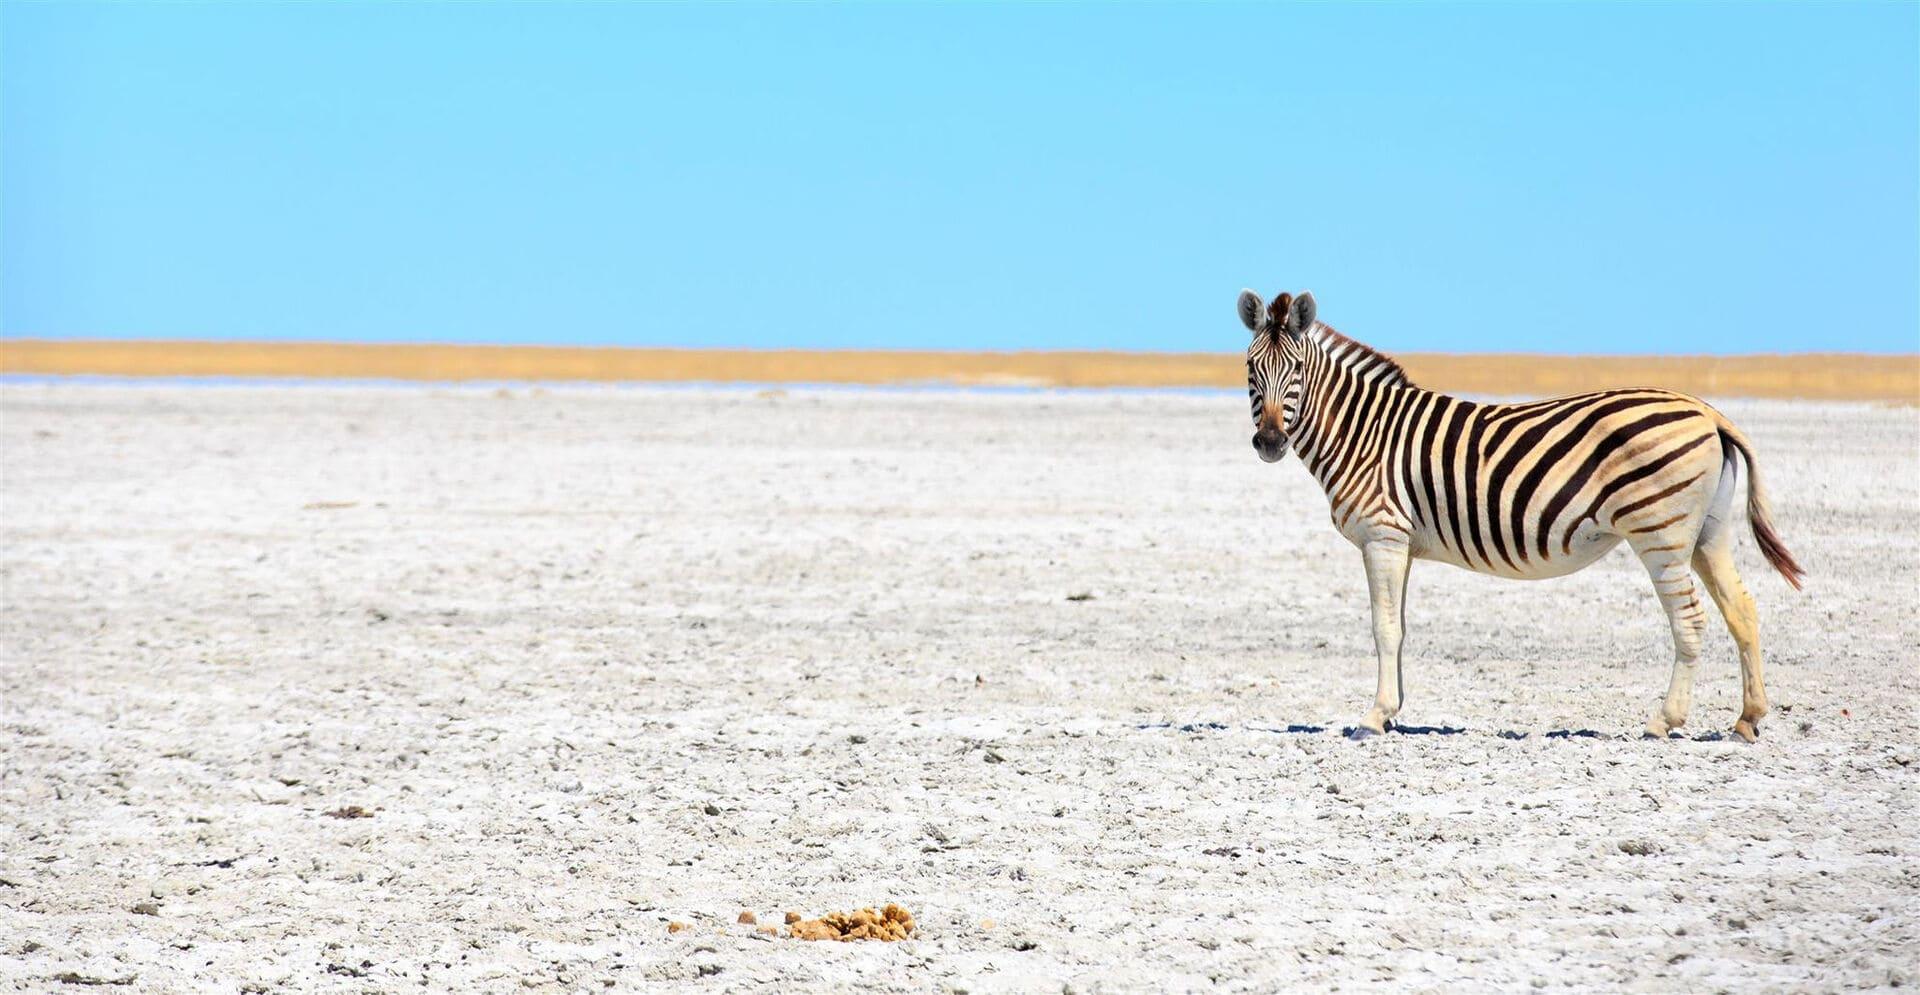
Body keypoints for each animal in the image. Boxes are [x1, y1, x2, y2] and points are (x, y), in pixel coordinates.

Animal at [1239, 288, 1803, 742]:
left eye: (1296, 373)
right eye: (1250, 371)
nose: (1269, 443)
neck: (1363, 431)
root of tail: (1708, 412)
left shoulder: (1383, 536)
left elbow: (1384, 628)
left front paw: (1374, 718)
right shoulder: (1402, 545)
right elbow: (1400, 626)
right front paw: (1394, 712)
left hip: (1658, 531)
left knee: (1690, 618)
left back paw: (1664, 721)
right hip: (1707, 532)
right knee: (1742, 609)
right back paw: (1747, 719)